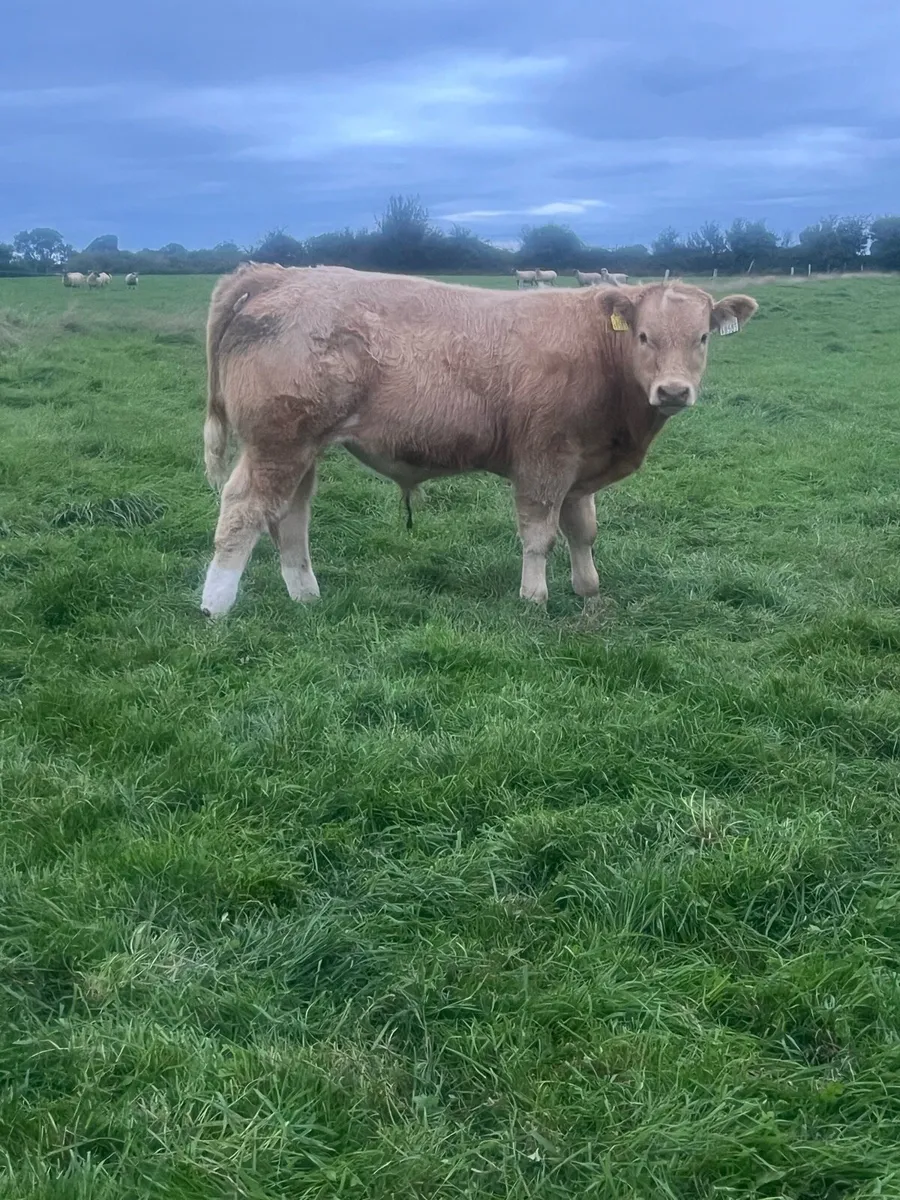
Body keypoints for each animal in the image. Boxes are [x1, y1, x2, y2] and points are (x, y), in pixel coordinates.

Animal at [199, 264, 758, 617]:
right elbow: (540, 535)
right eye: (644, 336)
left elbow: (583, 531)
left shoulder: (581, 469)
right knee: (244, 509)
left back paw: (306, 596)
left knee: (289, 517)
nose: (673, 390)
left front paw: (588, 590)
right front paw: (534, 597)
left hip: (301, 448)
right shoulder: (544, 461)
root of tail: (281, 273)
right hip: (277, 443)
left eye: (702, 338)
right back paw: (216, 606)